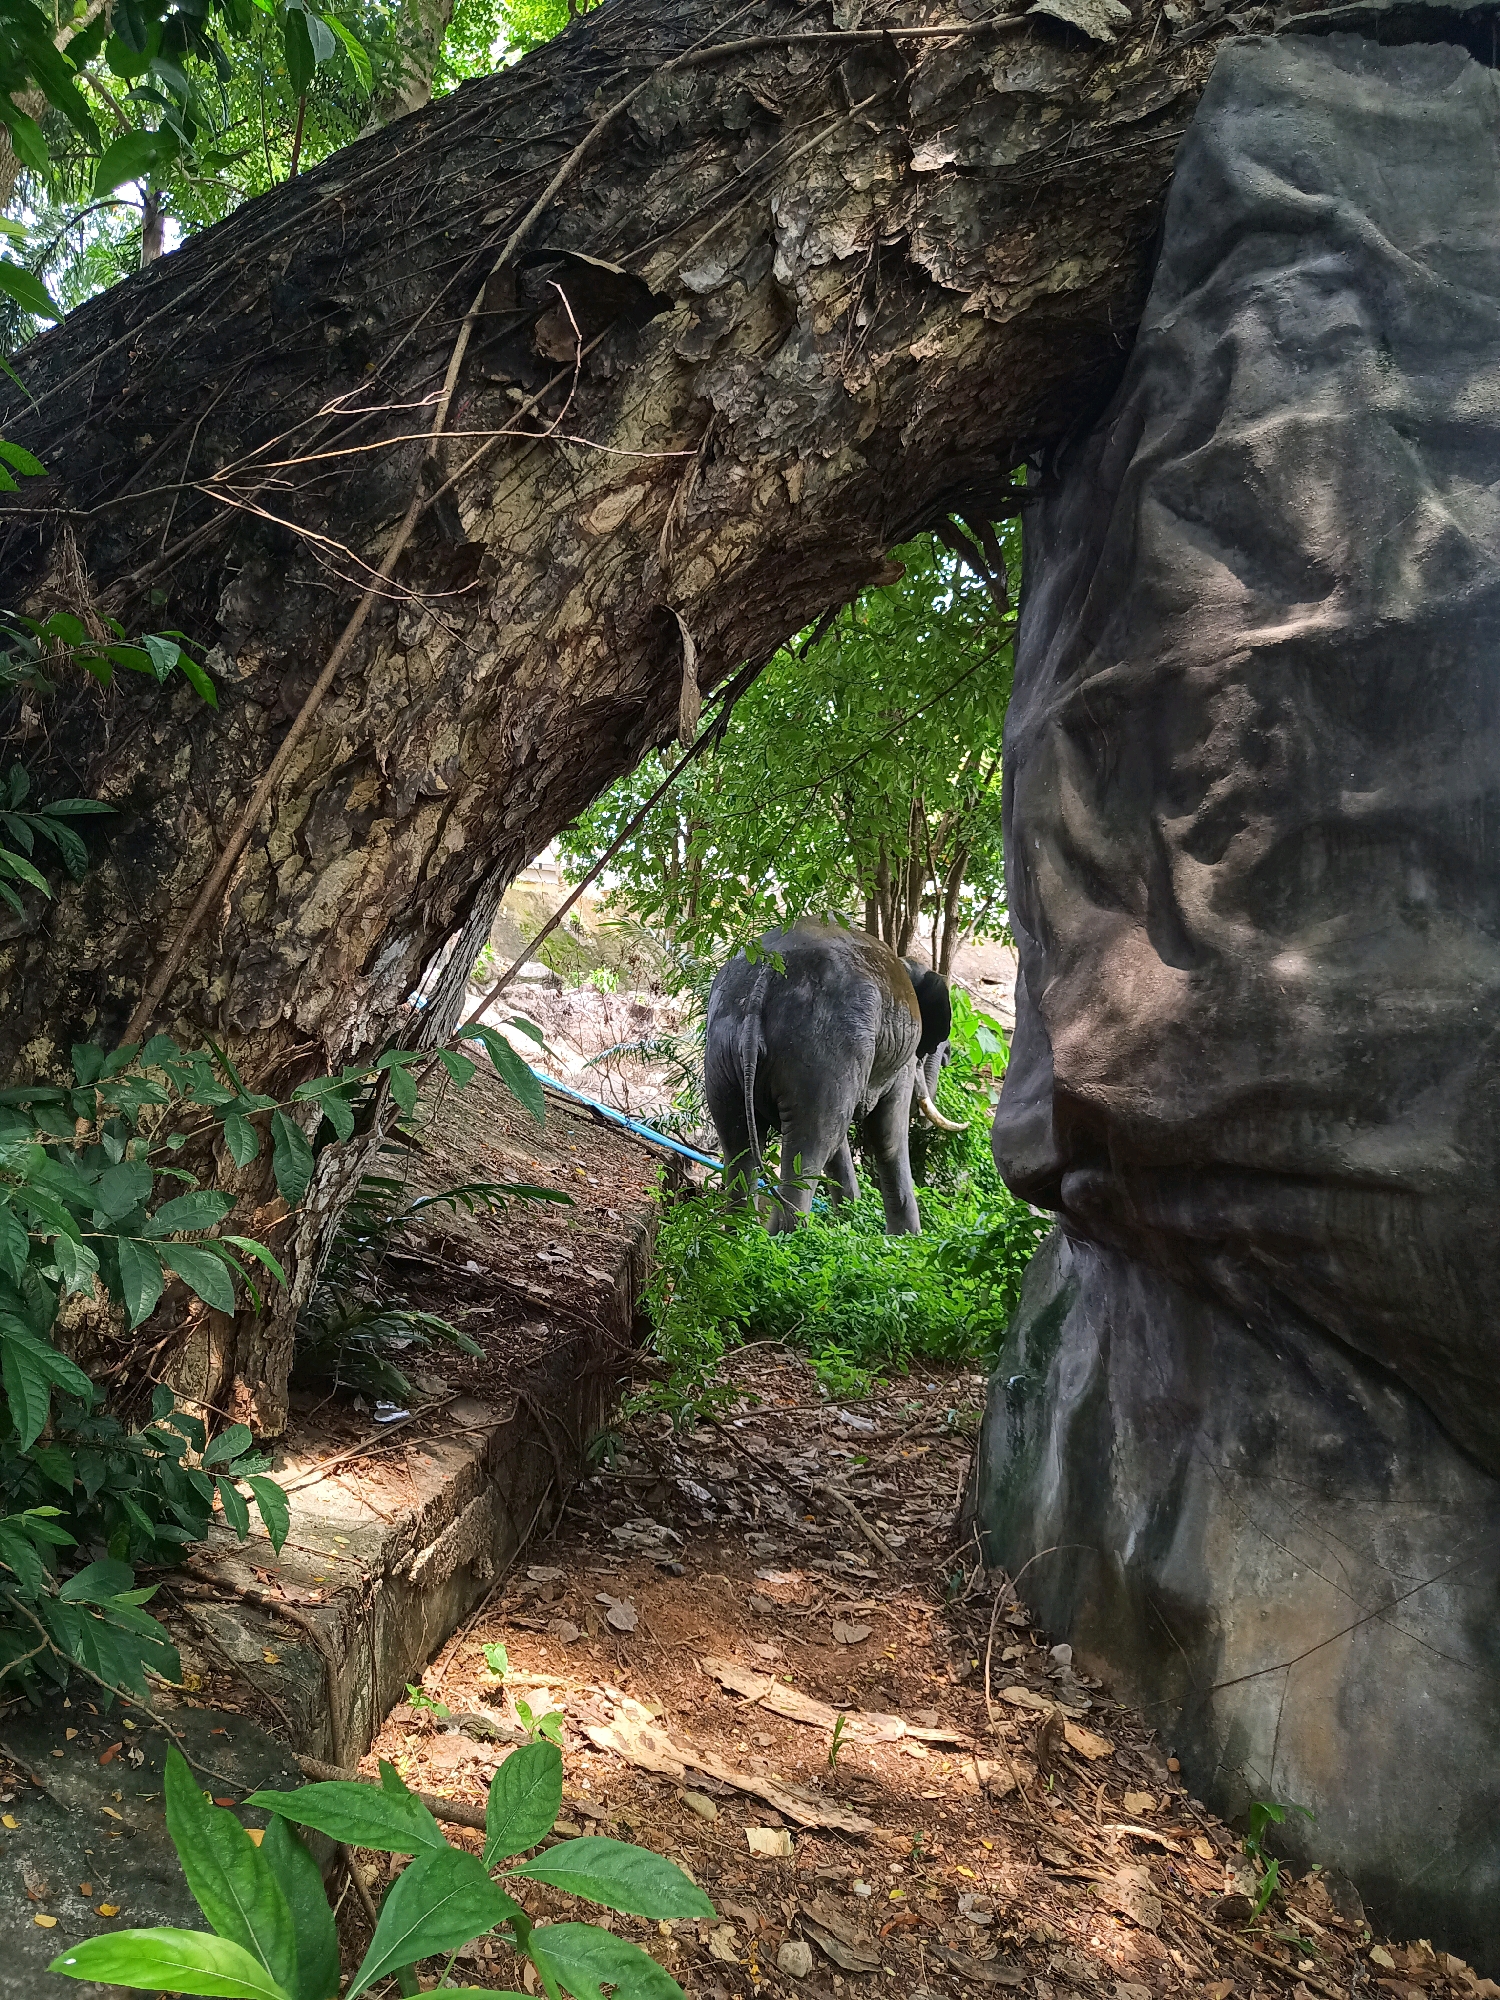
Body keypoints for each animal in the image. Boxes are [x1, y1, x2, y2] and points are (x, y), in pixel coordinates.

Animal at [705, 917, 964, 1234]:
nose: (948, 1056)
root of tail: (766, 974)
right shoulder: (898, 1060)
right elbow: (887, 1135)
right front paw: (908, 1238)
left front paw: (851, 1218)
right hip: (820, 1047)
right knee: (810, 1149)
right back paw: (787, 1237)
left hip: (722, 1054)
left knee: (738, 1146)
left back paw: (737, 1236)